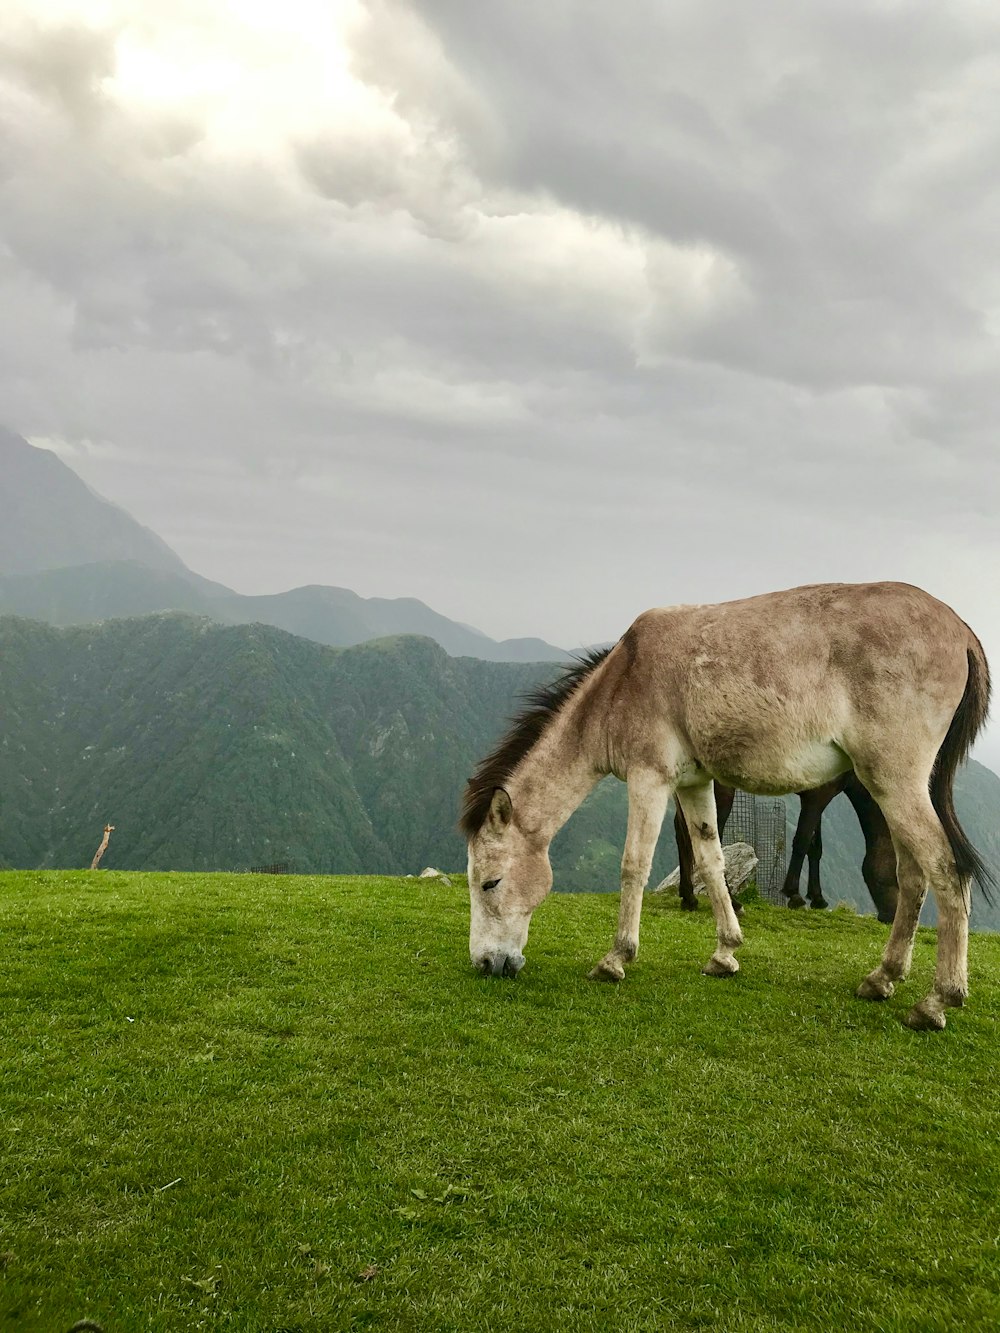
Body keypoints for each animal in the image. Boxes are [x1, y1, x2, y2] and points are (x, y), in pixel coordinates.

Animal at [674, 778, 901, 922]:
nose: (891, 917)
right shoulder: (819, 793)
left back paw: (689, 897)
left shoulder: (813, 796)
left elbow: (815, 847)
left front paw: (817, 897)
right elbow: (802, 841)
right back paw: (733, 902)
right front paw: (795, 895)